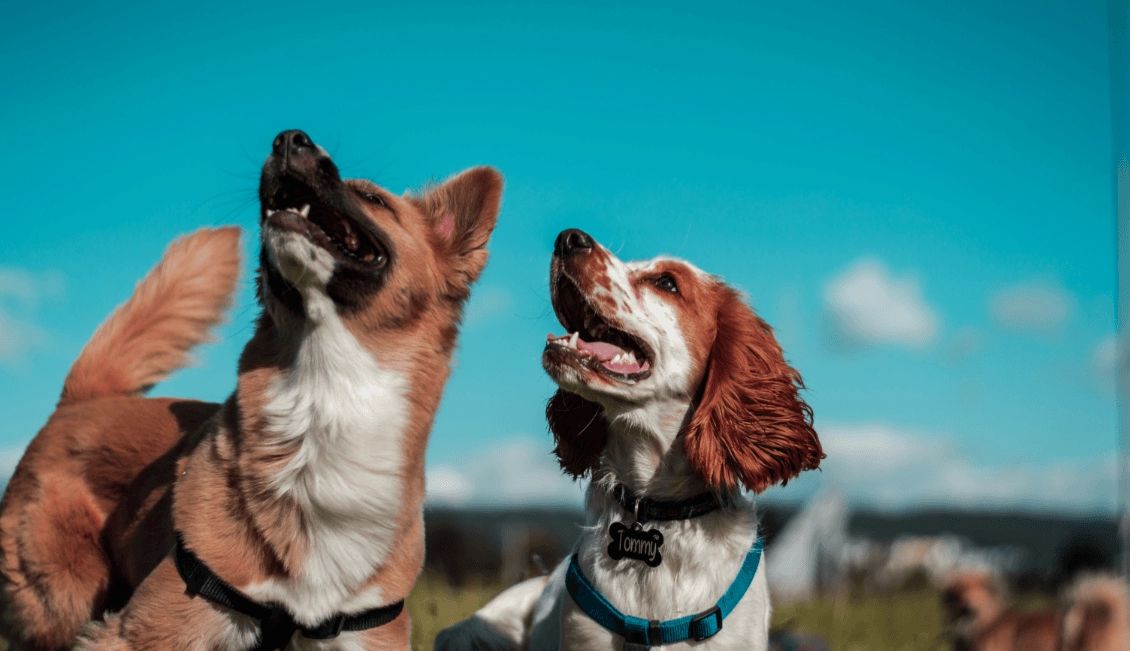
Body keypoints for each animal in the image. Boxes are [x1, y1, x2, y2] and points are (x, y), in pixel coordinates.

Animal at [0, 129, 503, 646]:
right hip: (60, 604)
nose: (289, 138)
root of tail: (85, 399)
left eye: (372, 199)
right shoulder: (145, 630)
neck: (324, 399)